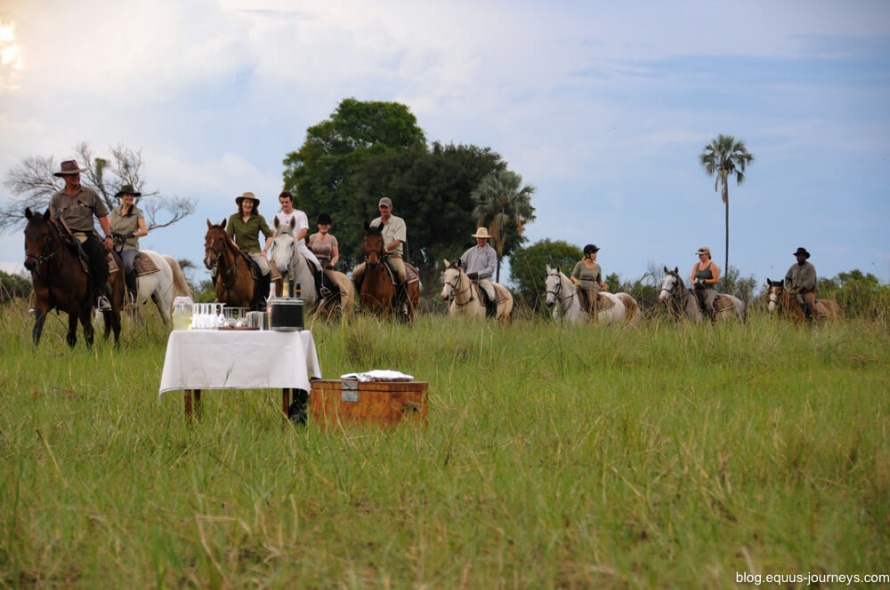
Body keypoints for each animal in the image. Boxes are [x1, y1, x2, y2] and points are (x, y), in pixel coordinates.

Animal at [23, 209, 123, 350]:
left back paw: (116, 349)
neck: (53, 271)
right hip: (85, 309)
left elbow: (71, 337)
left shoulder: (73, 306)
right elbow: (36, 332)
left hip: (114, 301)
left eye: (45, 235)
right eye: (25, 232)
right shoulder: (42, 303)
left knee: (116, 324)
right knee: (91, 331)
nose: (30, 263)